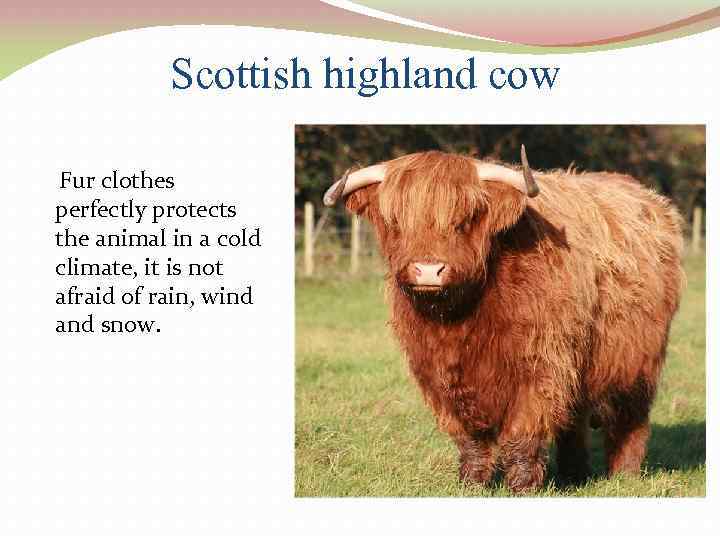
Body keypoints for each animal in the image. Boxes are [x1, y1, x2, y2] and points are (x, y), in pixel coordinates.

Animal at [323, 147, 684, 492]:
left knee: (630, 420)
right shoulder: (437, 375)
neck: (459, 320)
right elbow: (469, 438)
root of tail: (652, 199)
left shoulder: (541, 366)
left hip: (637, 361)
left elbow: (522, 433)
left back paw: (624, 475)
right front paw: (471, 483)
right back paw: (573, 475)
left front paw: (523, 487)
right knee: (575, 419)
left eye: (466, 219)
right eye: (396, 221)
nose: (428, 270)